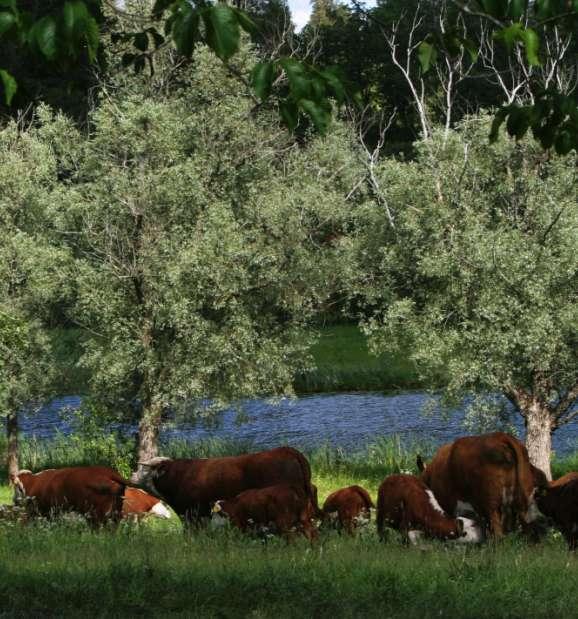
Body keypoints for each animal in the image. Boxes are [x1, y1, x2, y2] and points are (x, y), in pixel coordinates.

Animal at [414, 434, 544, 540]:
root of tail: (501, 436)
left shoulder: (449, 504)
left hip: (491, 505)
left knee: (498, 533)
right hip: (521, 499)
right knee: (526, 526)